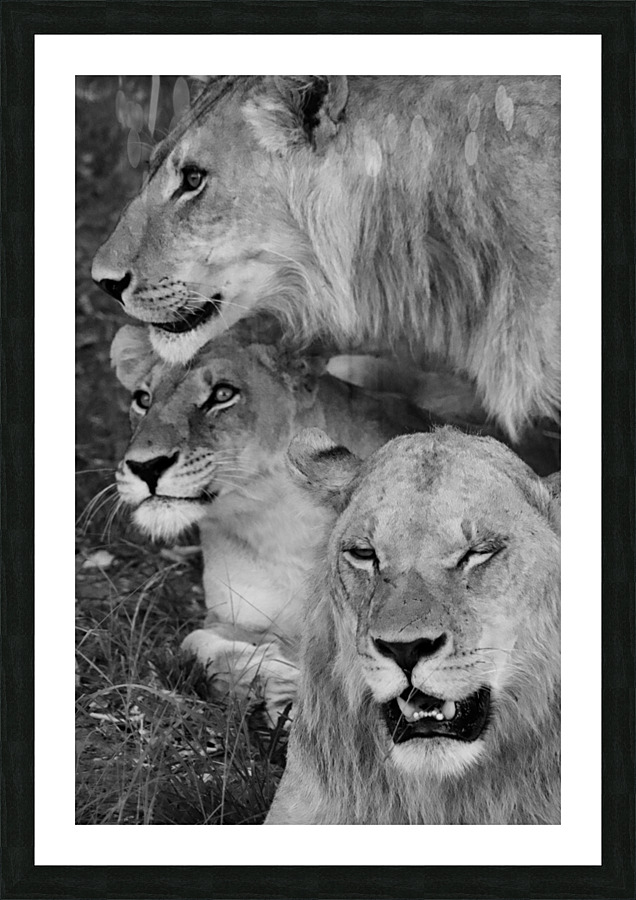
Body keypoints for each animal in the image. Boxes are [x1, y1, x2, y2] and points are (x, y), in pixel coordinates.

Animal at [111, 325, 439, 723]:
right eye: (143, 399)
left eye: (223, 394)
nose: (145, 466)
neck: (282, 525)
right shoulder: (231, 618)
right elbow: (193, 645)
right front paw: (278, 682)